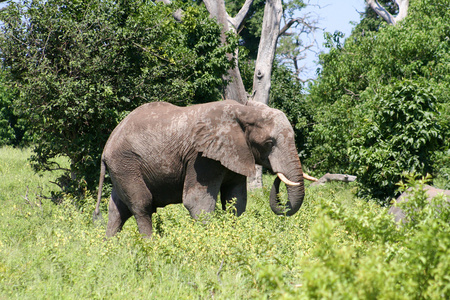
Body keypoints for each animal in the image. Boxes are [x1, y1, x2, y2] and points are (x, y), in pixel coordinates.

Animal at [93, 99, 308, 238]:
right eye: (269, 143)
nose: (277, 175)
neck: (243, 111)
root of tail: (106, 146)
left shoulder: (236, 154)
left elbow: (236, 201)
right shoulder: (201, 158)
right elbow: (198, 202)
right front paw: (208, 241)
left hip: (120, 168)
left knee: (117, 210)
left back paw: (109, 247)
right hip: (126, 163)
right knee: (142, 205)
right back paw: (150, 246)